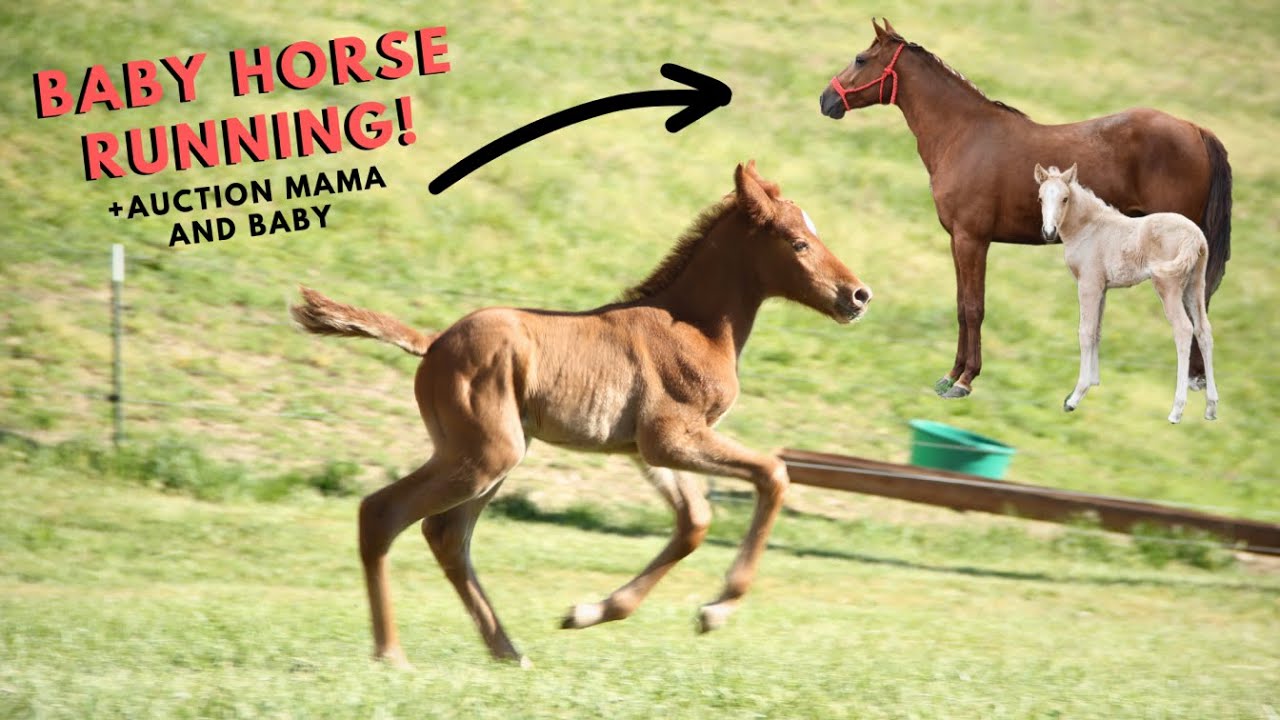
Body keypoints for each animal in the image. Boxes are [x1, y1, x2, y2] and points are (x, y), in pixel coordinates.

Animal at [289, 161, 873, 667]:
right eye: (799, 242)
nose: (858, 295)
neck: (695, 326)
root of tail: (432, 344)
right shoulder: (671, 436)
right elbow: (773, 473)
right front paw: (716, 610)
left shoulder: (646, 448)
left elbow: (694, 522)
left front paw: (588, 612)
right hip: (486, 453)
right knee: (384, 514)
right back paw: (392, 653)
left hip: (489, 454)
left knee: (447, 536)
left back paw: (509, 651)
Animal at [1035, 164, 1218, 423]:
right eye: (1041, 198)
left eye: (1065, 198)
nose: (1049, 232)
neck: (1090, 228)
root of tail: (1195, 239)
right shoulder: (1102, 287)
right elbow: (1097, 331)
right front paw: (1094, 382)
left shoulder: (1088, 284)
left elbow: (1085, 332)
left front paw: (1075, 396)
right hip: (1195, 286)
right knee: (1204, 331)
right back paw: (1211, 407)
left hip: (1169, 287)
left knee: (1184, 330)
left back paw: (1176, 410)